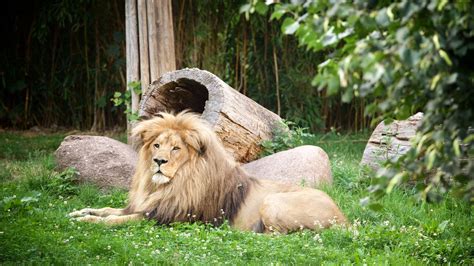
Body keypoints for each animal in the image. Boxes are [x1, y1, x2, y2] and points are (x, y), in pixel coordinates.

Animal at [68, 111, 346, 232]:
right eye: (157, 145)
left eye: (176, 148)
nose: (159, 161)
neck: (164, 185)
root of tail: (343, 217)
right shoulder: (146, 207)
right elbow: (107, 210)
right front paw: (79, 212)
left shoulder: (165, 217)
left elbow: (114, 220)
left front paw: (85, 221)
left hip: (273, 201)